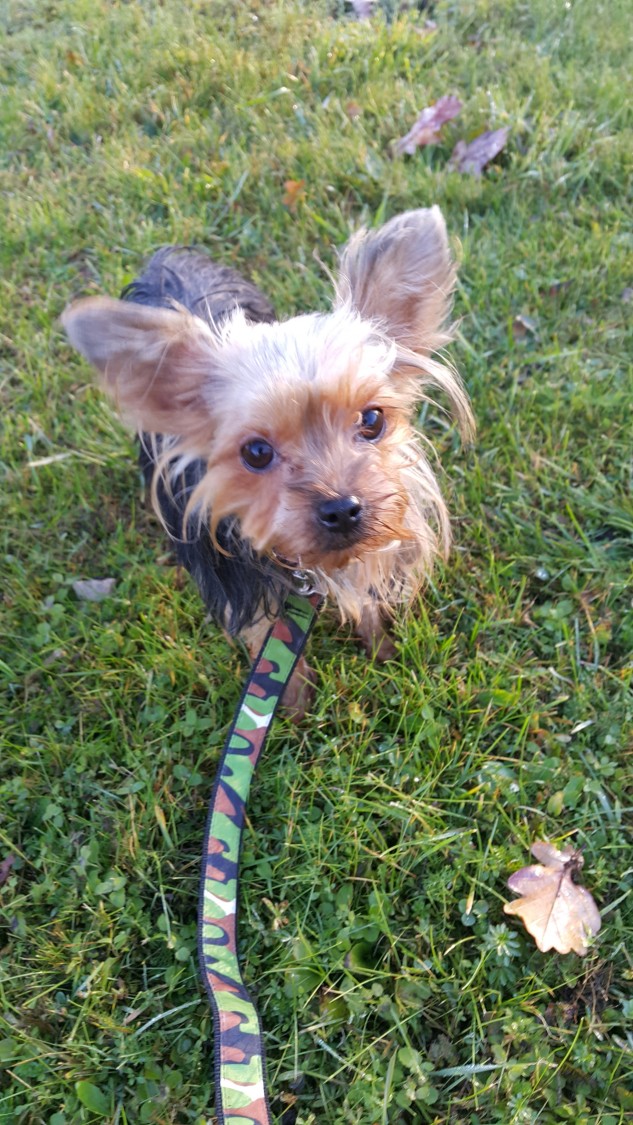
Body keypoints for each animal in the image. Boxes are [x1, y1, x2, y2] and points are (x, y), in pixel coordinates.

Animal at [62, 208, 473, 717]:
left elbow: (366, 595)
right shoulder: (238, 589)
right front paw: (291, 701)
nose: (342, 509)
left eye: (373, 420)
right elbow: (264, 639)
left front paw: (381, 646)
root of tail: (166, 260)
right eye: (256, 453)